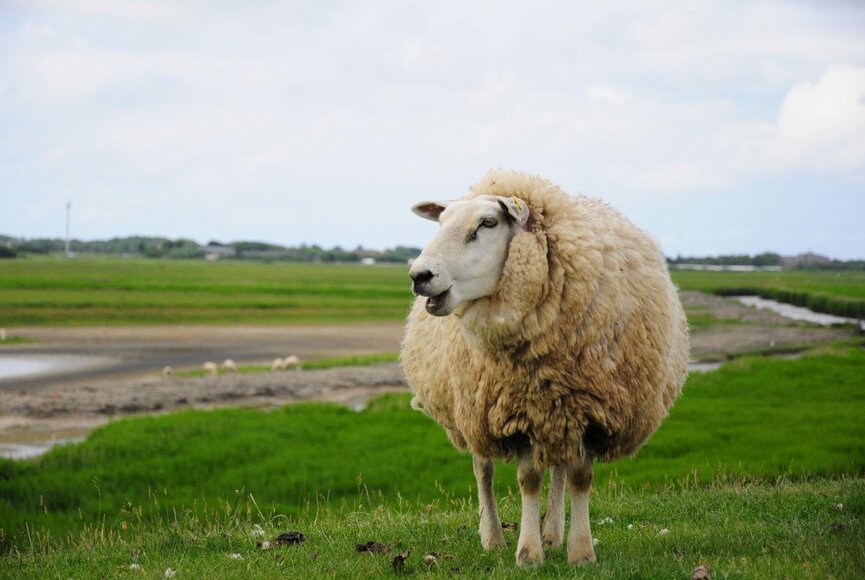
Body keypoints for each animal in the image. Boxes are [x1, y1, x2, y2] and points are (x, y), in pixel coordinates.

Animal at [401, 170, 689, 566]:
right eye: (441, 223)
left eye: (488, 223)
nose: (420, 276)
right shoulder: (514, 409)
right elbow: (528, 479)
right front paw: (528, 552)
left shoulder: (589, 408)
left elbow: (580, 477)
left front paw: (580, 551)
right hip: (475, 406)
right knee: (483, 468)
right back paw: (493, 537)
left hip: (555, 411)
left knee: (559, 465)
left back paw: (553, 533)